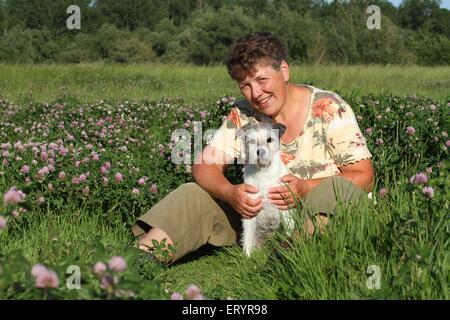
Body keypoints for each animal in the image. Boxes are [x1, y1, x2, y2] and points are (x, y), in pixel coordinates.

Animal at [236, 116, 296, 256]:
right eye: (252, 141)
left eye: (269, 139)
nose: (260, 151)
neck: (264, 171)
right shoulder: (250, 209)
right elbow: (248, 235)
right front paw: (247, 256)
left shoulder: (284, 205)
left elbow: (289, 228)